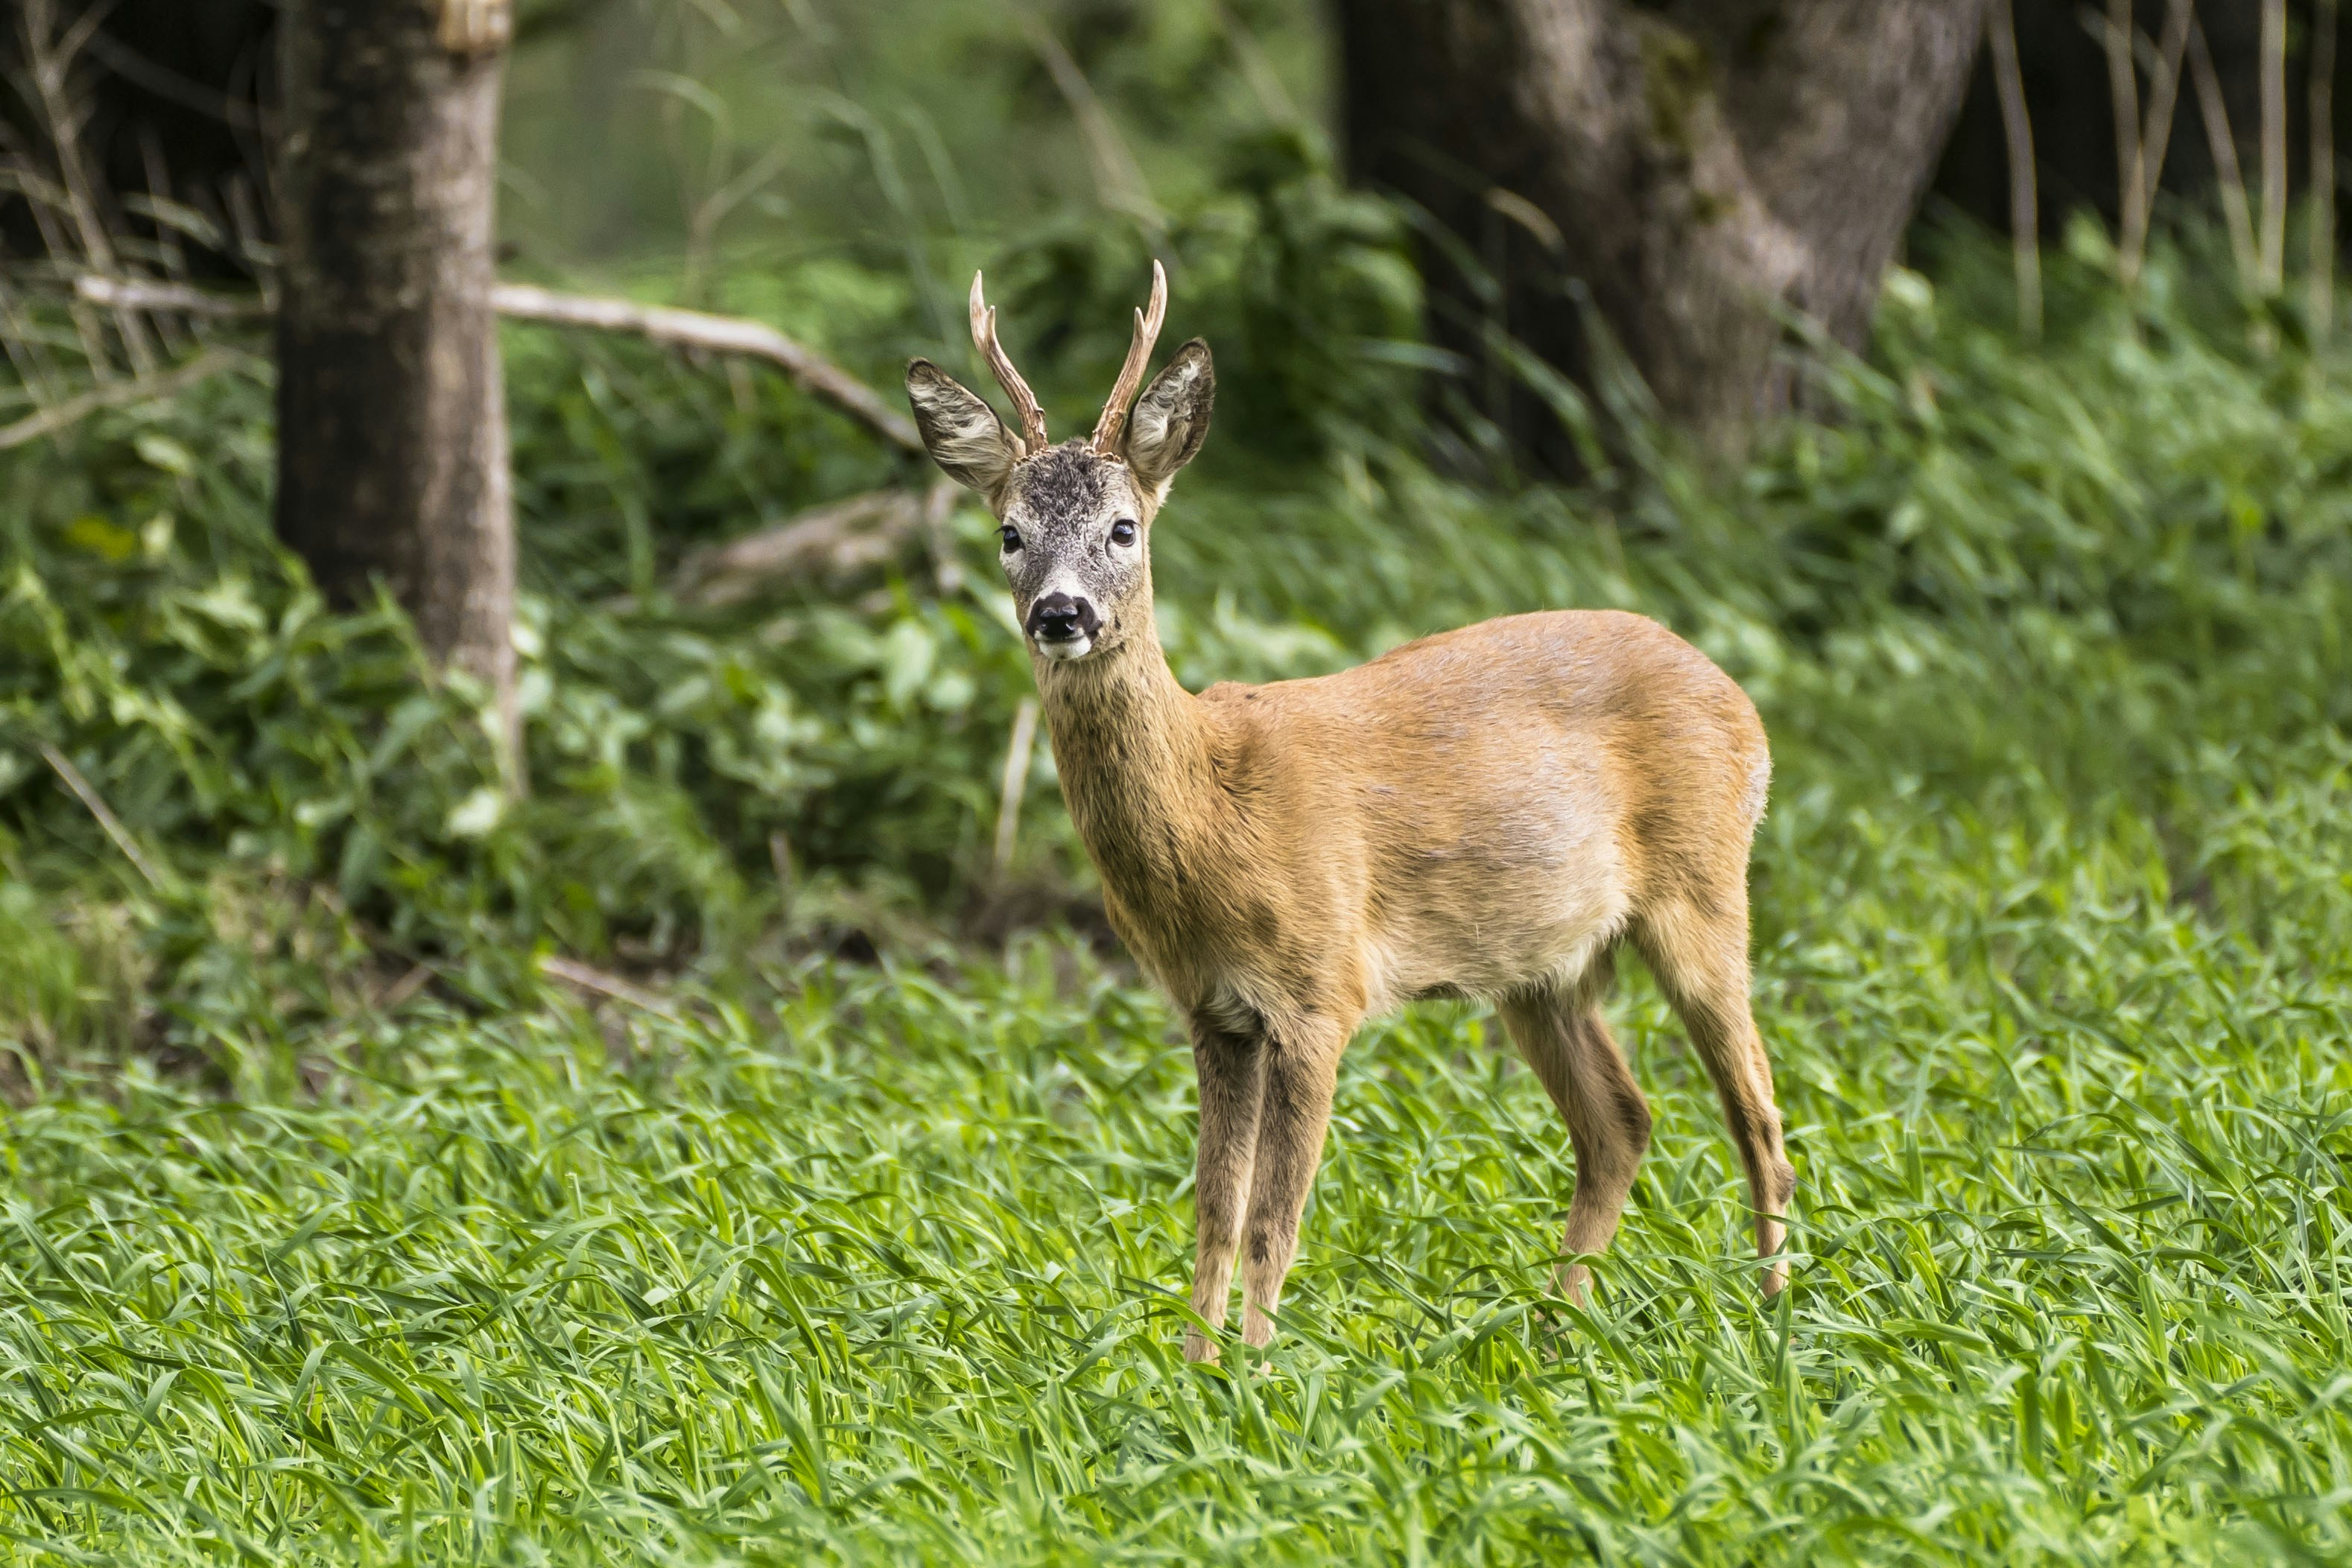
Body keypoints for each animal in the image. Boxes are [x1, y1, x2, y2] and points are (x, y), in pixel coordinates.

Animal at [907, 261, 1787, 1363]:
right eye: (1009, 533)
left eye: (1124, 527)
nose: (1059, 612)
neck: (1213, 813)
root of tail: (1741, 702)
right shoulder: (1212, 1008)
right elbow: (1214, 1211)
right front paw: (1192, 1372)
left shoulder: (1320, 989)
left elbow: (1274, 1218)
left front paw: (1255, 1373)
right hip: (1542, 968)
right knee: (1620, 1122)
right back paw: (1556, 1334)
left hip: (1702, 886)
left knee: (1756, 1115)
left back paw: (1775, 1315)